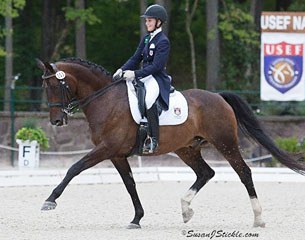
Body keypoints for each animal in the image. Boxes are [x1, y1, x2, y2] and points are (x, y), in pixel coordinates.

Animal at [36, 57, 304, 229]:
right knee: (206, 173)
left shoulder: (106, 149)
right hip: (187, 148)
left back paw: (258, 219)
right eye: (44, 85)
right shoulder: (117, 154)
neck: (105, 100)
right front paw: (137, 218)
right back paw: (186, 209)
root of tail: (218, 96)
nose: (57, 120)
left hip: (225, 142)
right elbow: (130, 184)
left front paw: (50, 200)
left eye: (54, 85)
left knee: (244, 172)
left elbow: (74, 168)